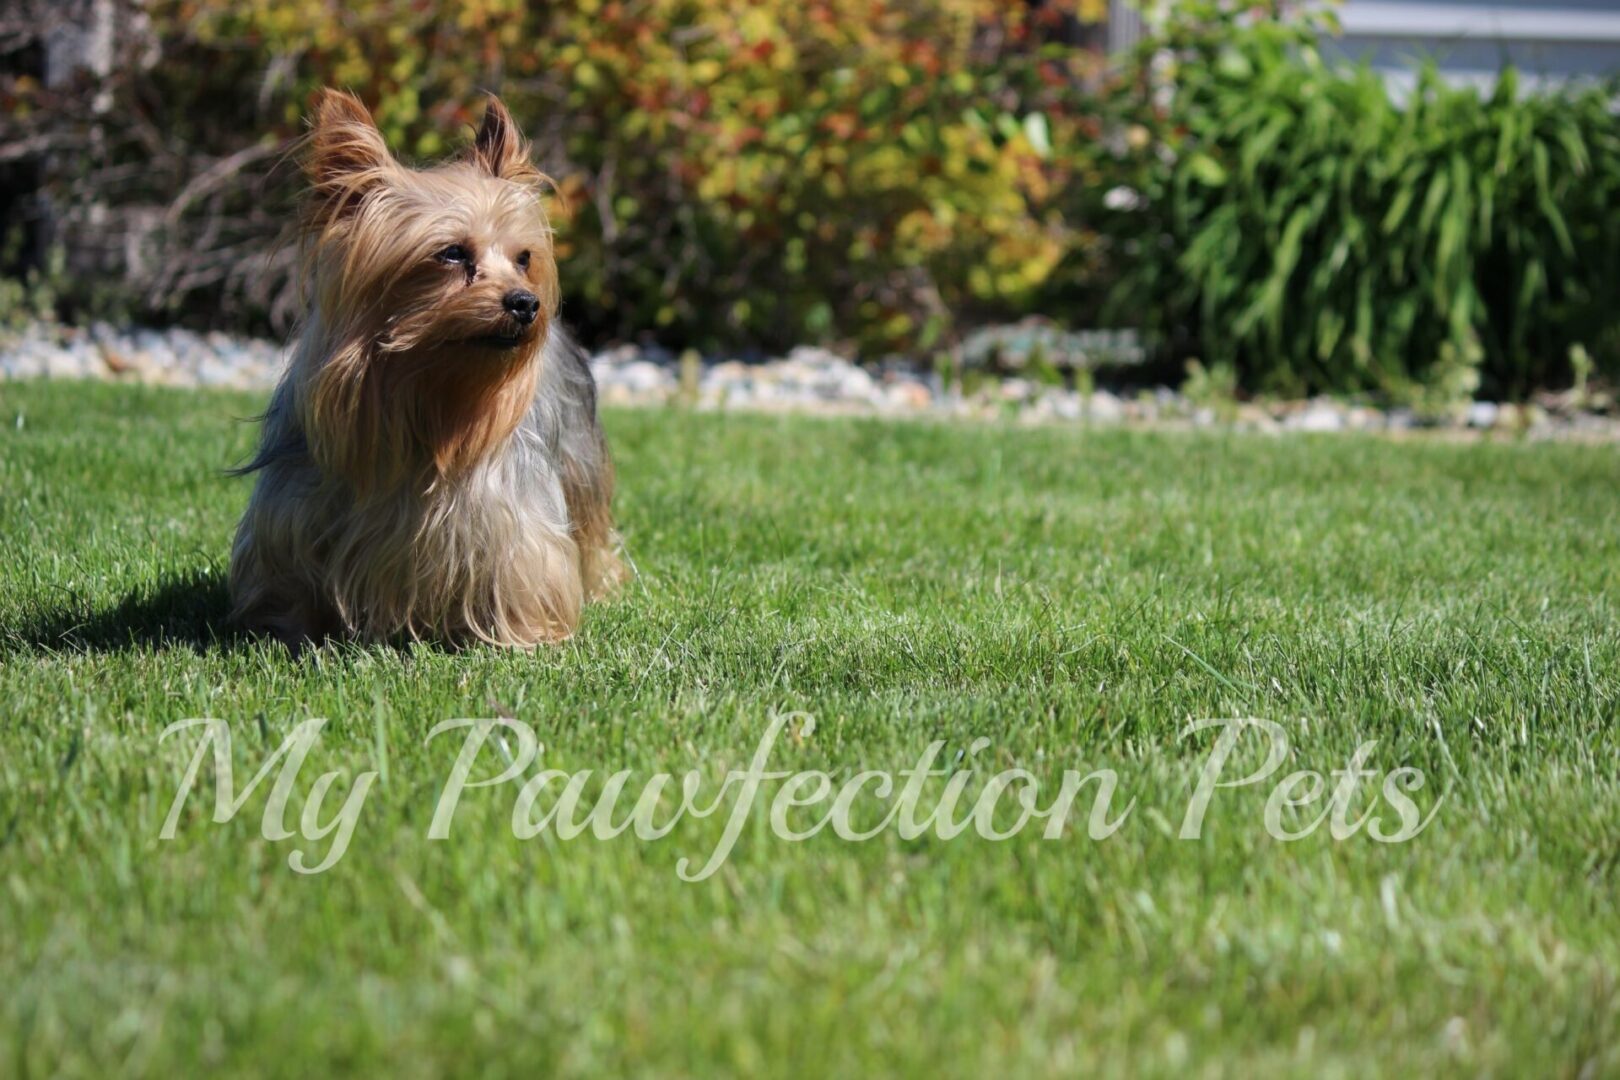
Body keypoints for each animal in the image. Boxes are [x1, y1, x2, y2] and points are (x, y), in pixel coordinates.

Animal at [231, 90, 622, 650]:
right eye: (452, 253)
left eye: (524, 257)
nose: (526, 303)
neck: (426, 388)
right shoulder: (296, 509)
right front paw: (286, 629)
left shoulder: (509, 516)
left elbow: (524, 562)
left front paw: (524, 634)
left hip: (579, 463)